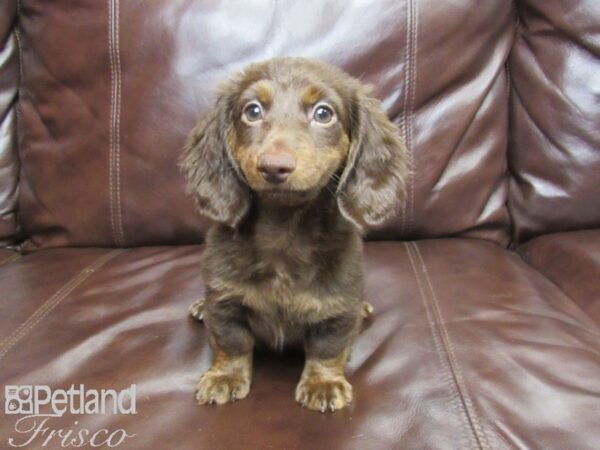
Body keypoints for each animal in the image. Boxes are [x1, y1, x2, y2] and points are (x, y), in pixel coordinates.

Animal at [180, 56, 406, 412]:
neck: (284, 230)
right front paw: (225, 377)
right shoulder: (225, 301)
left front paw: (323, 383)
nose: (274, 166)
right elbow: (231, 342)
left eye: (324, 113)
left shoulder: (337, 309)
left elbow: (327, 347)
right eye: (253, 110)